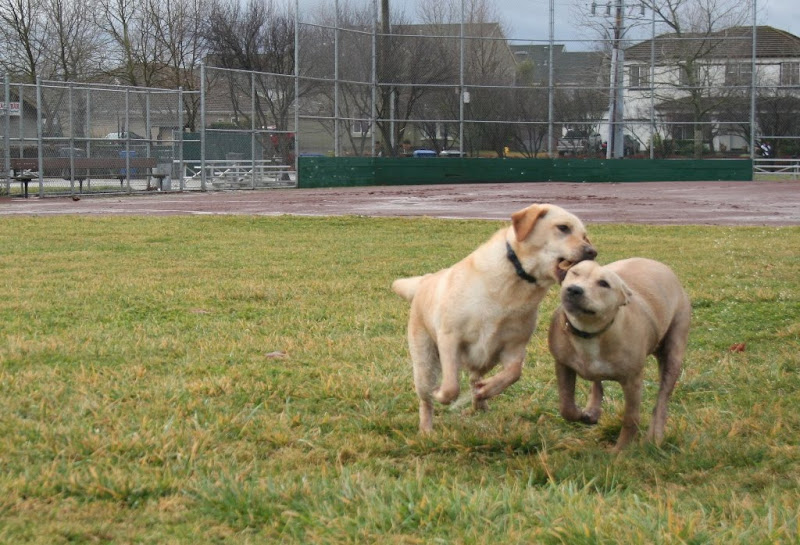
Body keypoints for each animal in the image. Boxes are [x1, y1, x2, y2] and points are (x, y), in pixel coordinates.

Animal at [392, 204, 592, 434]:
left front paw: (487, 390)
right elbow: (451, 387)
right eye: (563, 227)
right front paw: (441, 394)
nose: (592, 252)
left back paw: (480, 401)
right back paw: (426, 430)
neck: (515, 281)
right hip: (424, 362)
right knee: (426, 399)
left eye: (585, 236)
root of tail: (424, 281)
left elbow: (514, 372)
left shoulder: (514, 347)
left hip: (485, 359)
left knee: (473, 377)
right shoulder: (450, 338)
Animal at [548, 260, 692, 450]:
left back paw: (655, 437)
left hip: (673, 352)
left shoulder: (633, 381)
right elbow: (566, 406)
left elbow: (631, 418)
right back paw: (592, 410)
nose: (574, 289)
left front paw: (620, 451)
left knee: (662, 399)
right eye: (574, 273)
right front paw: (581, 415)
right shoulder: (563, 365)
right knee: (597, 382)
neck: (590, 334)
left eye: (604, 283)